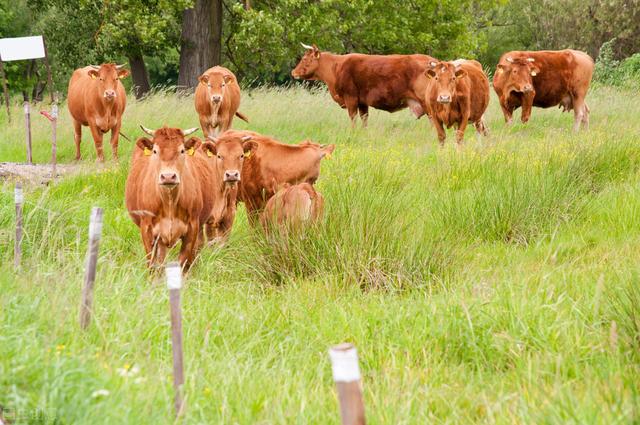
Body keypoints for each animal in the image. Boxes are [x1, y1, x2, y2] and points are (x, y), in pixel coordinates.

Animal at [126, 124, 211, 268]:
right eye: (155, 151)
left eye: (182, 150)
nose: (168, 176)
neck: (169, 202)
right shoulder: (147, 230)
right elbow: (152, 265)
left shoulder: (192, 229)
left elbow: (183, 263)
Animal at [292, 43, 436, 126]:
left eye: (304, 59)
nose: (293, 72)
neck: (336, 68)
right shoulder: (362, 102)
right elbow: (364, 119)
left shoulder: (350, 98)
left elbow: (353, 118)